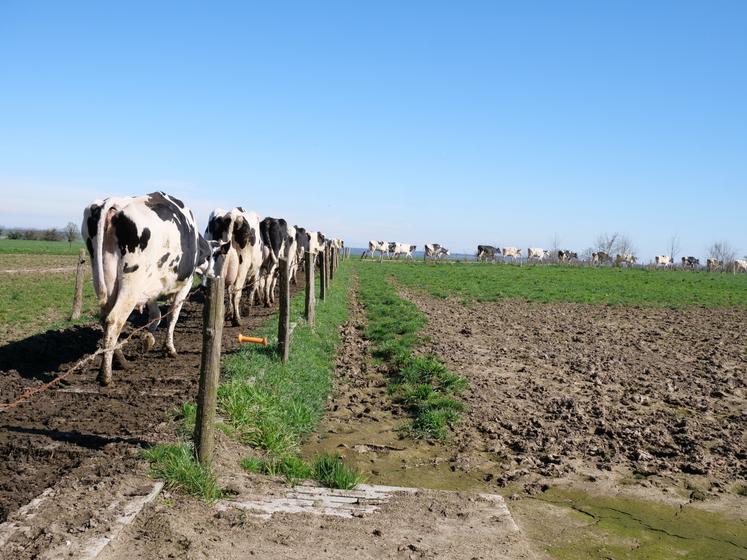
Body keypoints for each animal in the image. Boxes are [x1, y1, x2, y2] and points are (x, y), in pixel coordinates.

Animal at [82, 192, 228, 384]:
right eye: (220, 257)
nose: (219, 276)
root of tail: (116, 202)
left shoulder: (150, 288)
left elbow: (156, 315)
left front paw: (147, 339)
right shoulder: (185, 284)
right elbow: (172, 315)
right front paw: (169, 348)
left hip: (107, 280)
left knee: (105, 318)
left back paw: (120, 361)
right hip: (132, 283)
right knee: (114, 320)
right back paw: (105, 375)